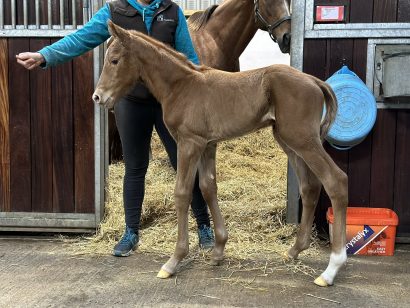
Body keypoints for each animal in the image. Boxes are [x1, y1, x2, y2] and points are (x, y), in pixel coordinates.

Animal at [93, 22, 350, 288]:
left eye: (114, 60)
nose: (98, 97)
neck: (181, 86)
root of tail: (314, 80)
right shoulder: (208, 145)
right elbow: (208, 188)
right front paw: (218, 250)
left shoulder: (189, 143)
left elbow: (182, 193)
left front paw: (174, 261)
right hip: (290, 142)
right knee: (310, 187)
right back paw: (294, 250)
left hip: (303, 139)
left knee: (336, 180)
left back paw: (331, 269)